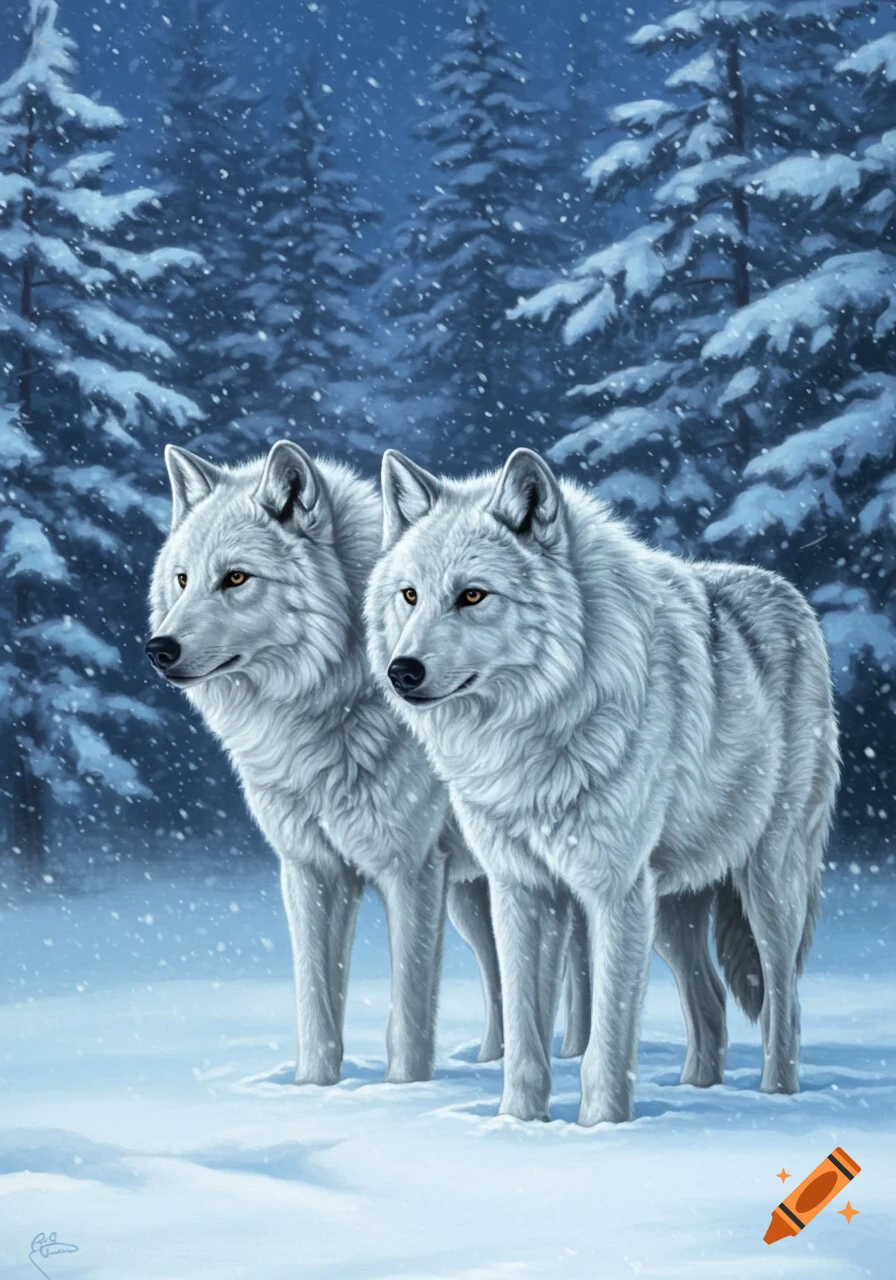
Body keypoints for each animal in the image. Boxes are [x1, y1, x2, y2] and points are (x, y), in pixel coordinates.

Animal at [146, 440, 504, 1085]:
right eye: (182, 579)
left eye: (235, 578)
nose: (158, 649)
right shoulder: (310, 869)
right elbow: (317, 1005)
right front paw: (315, 1091)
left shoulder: (409, 872)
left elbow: (409, 1013)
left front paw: (405, 1093)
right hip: (470, 895)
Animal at [366, 447, 839, 1125]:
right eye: (409, 595)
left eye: (472, 595)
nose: (401, 672)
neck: (533, 731)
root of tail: (789, 592)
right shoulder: (521, 887)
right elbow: (526, 1033)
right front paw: (517, 1124)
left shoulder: (613, 890)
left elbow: (609, 1036)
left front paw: (602, 1130)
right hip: (668, 907)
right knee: (712, 1001)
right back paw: (697, 1094)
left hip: (765, 883)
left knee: (785, 1001)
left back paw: (775, 1101)